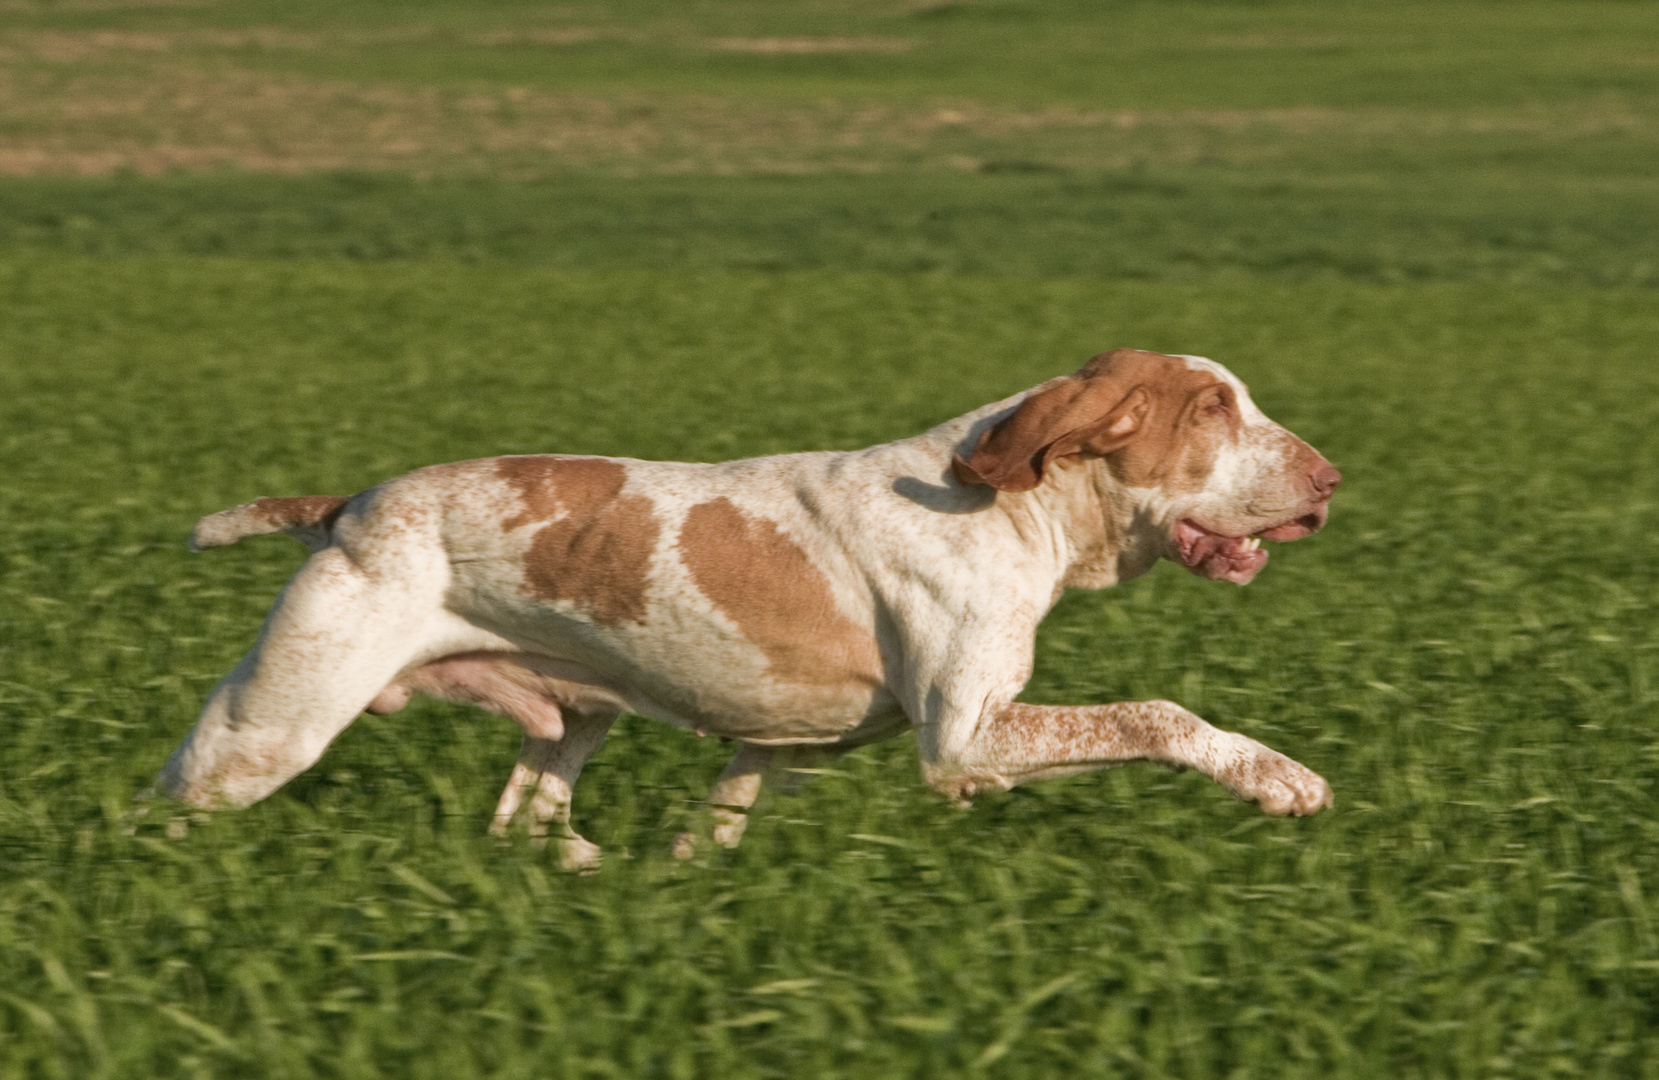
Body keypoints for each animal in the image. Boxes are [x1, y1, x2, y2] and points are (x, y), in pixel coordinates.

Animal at [161, 350, 1340, 875]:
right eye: (1212, 410)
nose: (1330, 479)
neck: (1018, 503)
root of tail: (348, 507)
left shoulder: (783, 744)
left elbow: (718, 818)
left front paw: (688, 871)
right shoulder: (964, 739)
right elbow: (1160, 714)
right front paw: (1279, 778)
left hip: (573, 723)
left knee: (526, 818)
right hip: (269, 729)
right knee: (169, 802)